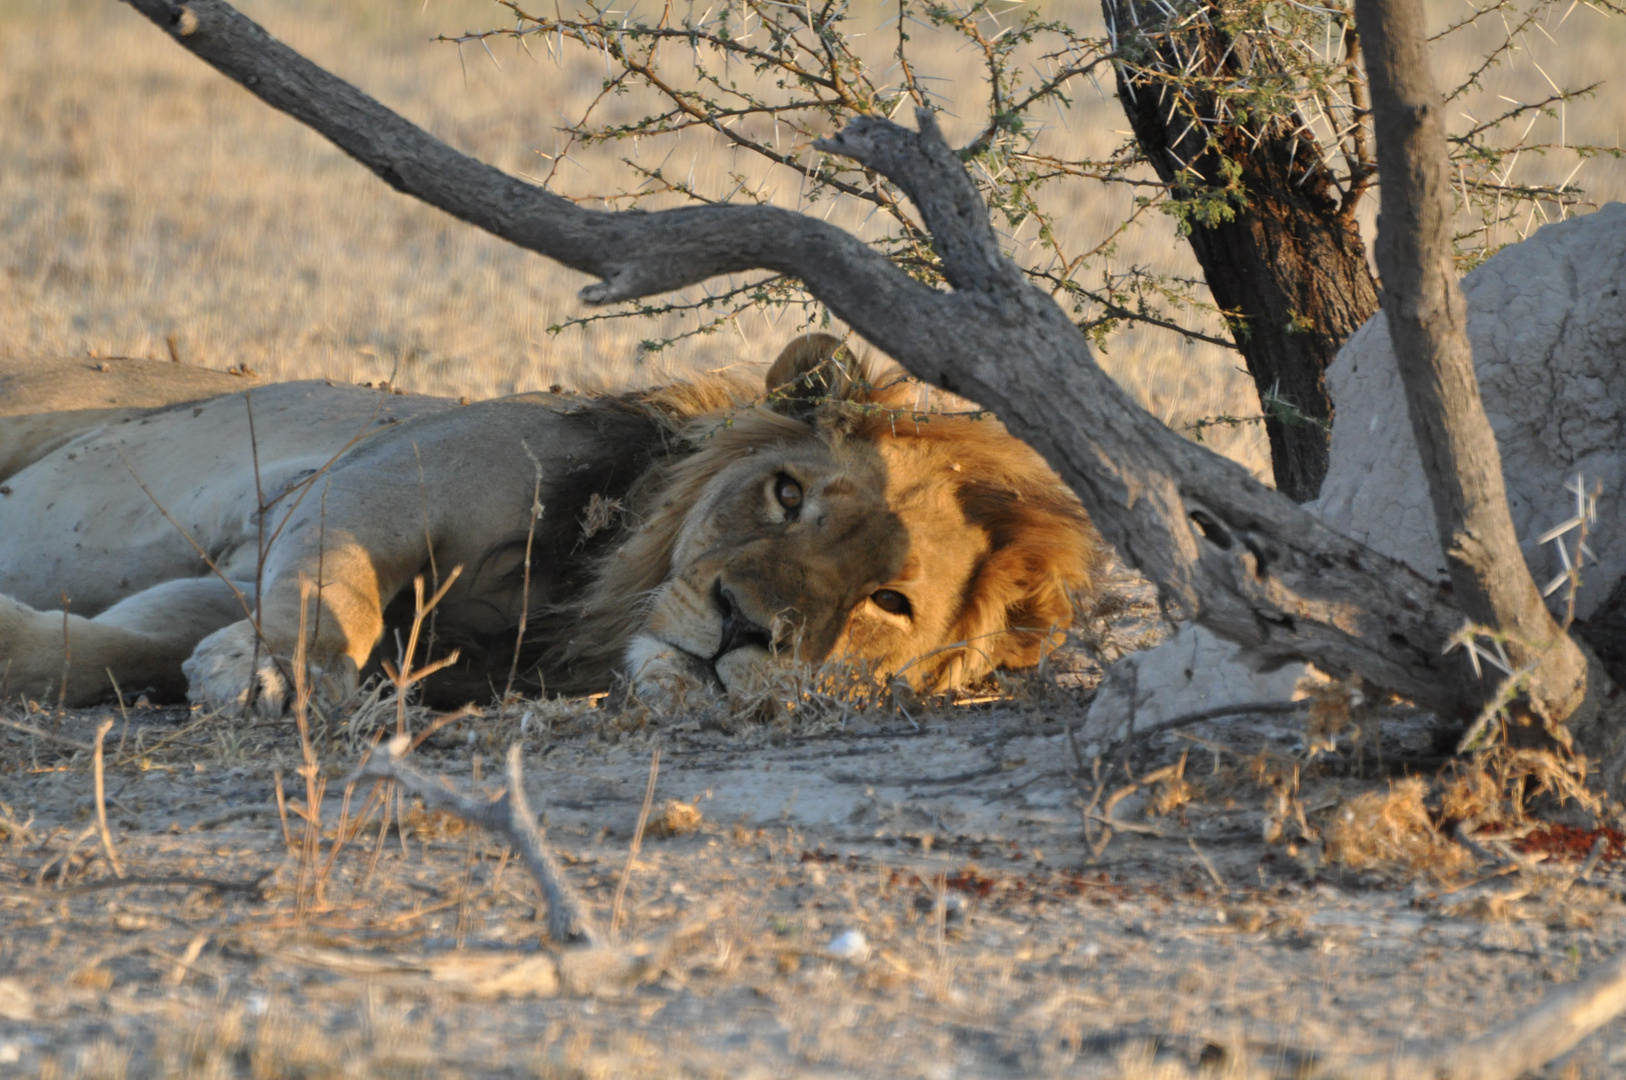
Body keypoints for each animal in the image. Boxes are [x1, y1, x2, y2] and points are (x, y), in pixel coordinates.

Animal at [0, 333, 1105, 712]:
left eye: (889, 601)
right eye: (787, 494)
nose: (744, 624)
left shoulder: (219, 578)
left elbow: (108, 654)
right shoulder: (382, 473)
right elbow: (333, 592)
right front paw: (277, 671)